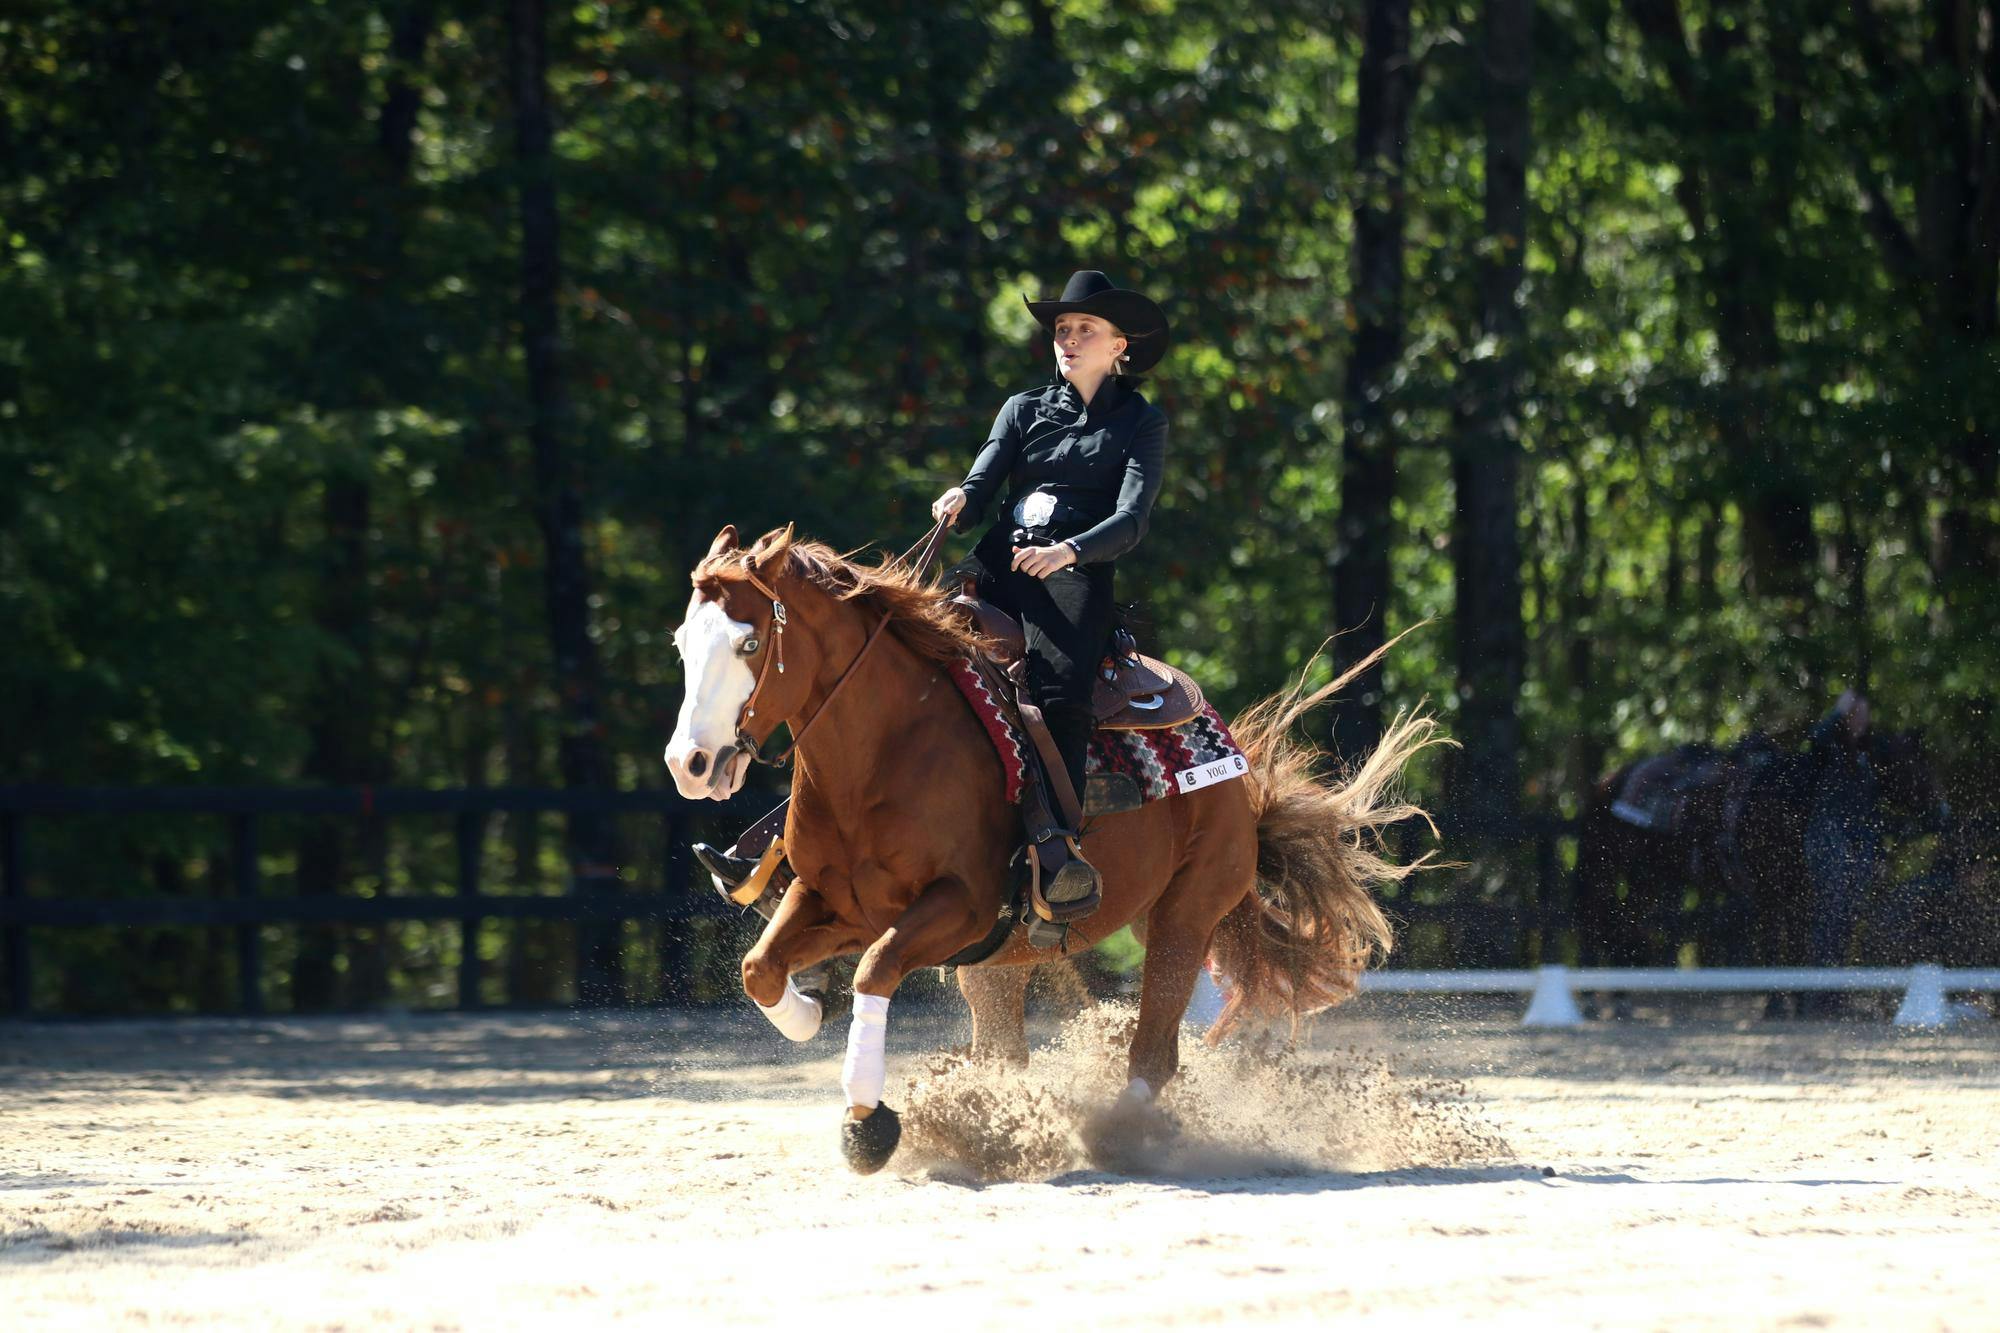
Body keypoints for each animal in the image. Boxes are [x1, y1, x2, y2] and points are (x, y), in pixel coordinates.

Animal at [663, 523, 1442, 1172]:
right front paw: (808, 1009)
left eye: (750, 644)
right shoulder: (834, 898)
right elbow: (761, 968)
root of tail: (1237, 771)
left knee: (1153, 1051)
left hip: (1184, 916)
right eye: (682, 644)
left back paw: (1115, 1135)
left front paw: (868, 1124)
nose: (689, 764)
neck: (889, 745)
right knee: (1009, 1048)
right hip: (1000, 962)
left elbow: (875, 969)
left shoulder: (959, 904)